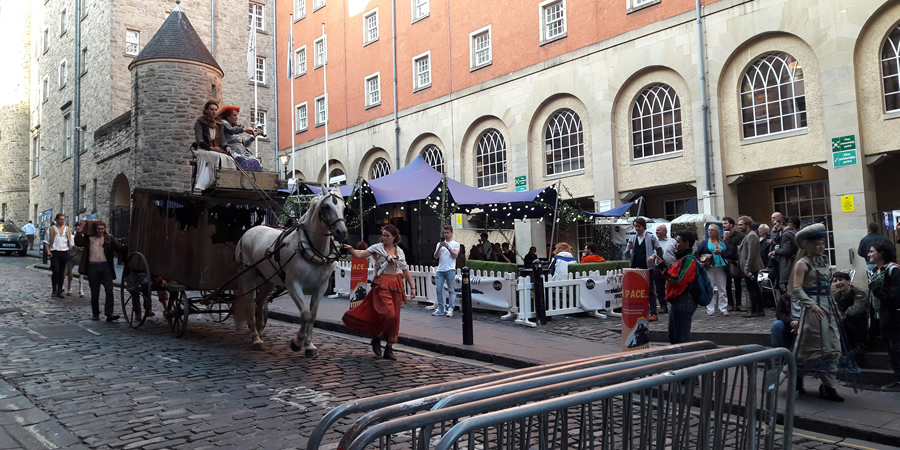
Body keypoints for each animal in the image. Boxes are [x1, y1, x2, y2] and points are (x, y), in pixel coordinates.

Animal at [234, 188, 346, 356]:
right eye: (326, 206)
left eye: (344, 207)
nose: (342, 232)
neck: (311, 249)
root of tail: (249, 231)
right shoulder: (293, 284)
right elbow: (305, 314)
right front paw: (297, 342)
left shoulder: (321, 286)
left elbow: (312, 315)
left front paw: (309, 345)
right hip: (248, 275)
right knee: (249, 304)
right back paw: (256, 338)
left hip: (268, 278)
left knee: (259, 301)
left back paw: (260, 331)